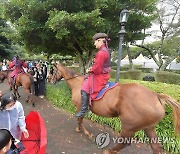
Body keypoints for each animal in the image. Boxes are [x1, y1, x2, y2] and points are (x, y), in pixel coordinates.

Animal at [50, 63, 180, 154]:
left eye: (52, 70)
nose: (49, 80)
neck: (78, 83)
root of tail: (156, 96)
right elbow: (79, 120)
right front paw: (79, 129)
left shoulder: (79, 107)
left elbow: (79, 119)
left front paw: (86, 133)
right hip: (148, 127)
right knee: (156, 147)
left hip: (129, 126)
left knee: (125, 142)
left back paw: (109, 151)